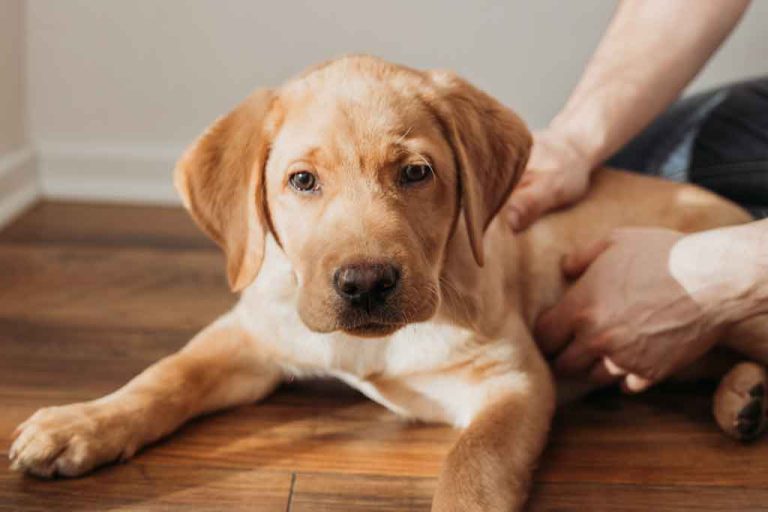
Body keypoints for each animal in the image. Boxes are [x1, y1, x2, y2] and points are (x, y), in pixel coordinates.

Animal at [10, 54, 768, 510]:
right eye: (302, 181)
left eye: (415, 173)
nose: (366, 283)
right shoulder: (252, 335)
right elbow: (164, 376)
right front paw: (79, 423)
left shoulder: (513, 381)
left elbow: (473, 468)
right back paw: (743, 399)